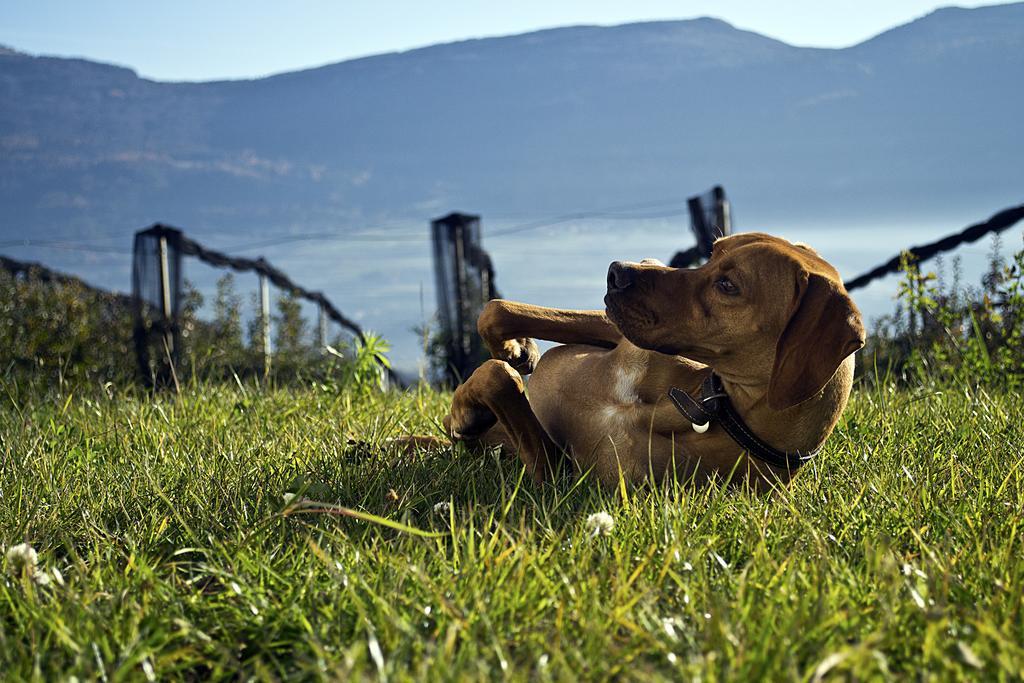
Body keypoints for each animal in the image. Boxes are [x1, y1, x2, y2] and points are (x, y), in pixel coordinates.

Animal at [440, 232, 864, 489]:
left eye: (728, 285)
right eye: (712, 252)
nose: (616, 271)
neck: (705, 407)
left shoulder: (560, 478)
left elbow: (499, 377)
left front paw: (470, 410)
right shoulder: (621, 335)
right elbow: (496, 310)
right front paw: (516, 350)